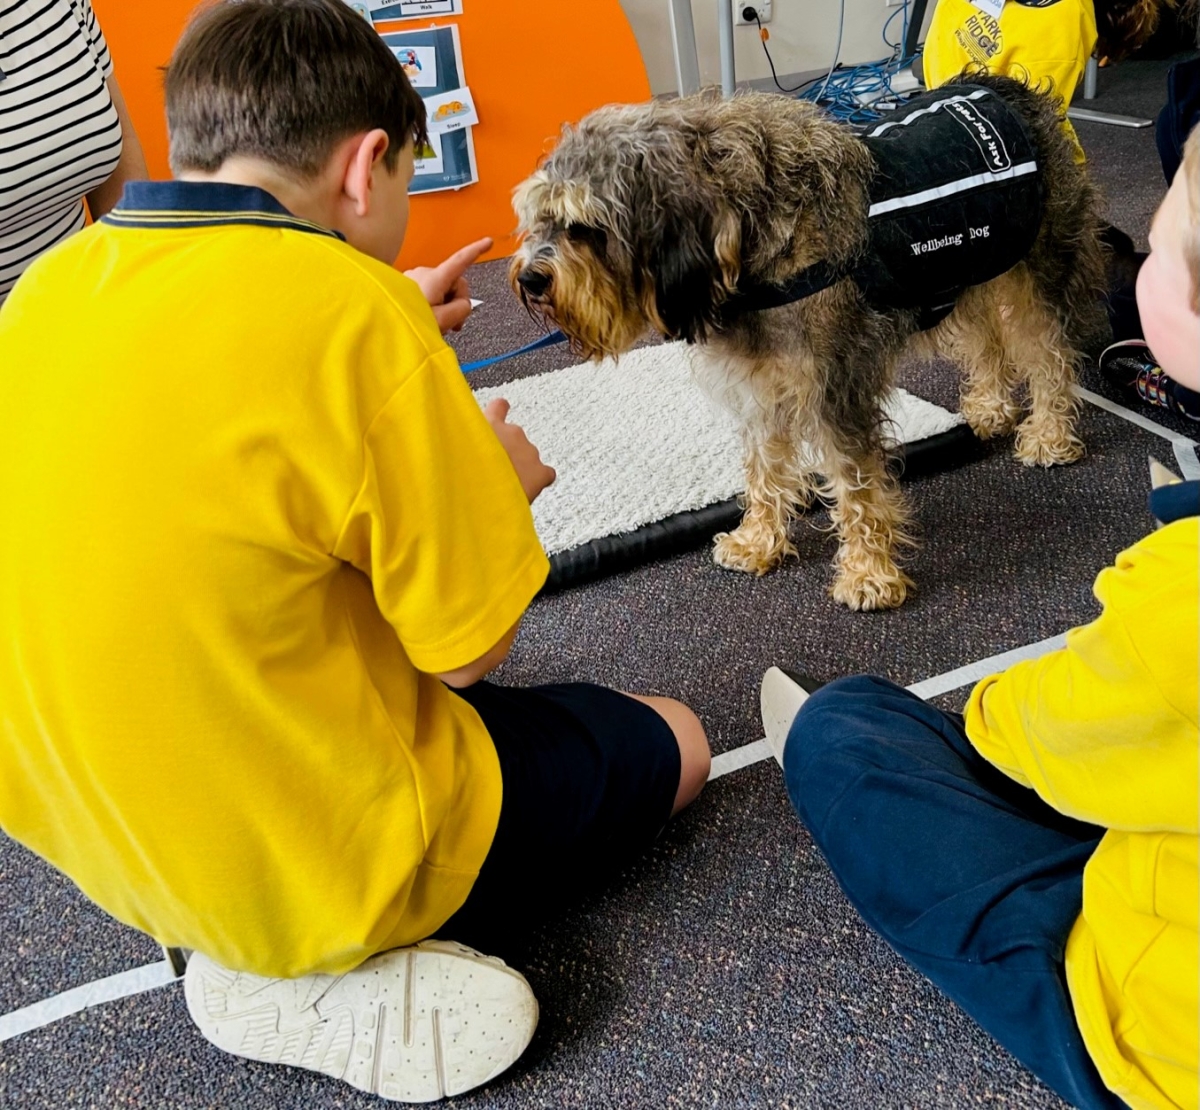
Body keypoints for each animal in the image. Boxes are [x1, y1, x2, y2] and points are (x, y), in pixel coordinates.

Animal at [511, 73, 1099, 609]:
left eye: (587, 227)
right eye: (539, 217)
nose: (531, 278)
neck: (751, 244)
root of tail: (1005, 85)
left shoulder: (836, 391)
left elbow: (858, 488)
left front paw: (867, 574)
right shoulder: (760, 387)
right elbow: (764, 470)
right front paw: (758, 540)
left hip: (1036, 277)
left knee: (1050, 356)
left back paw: (1050, 434)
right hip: (967, 273)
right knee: (986, 340)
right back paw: (992, 405)